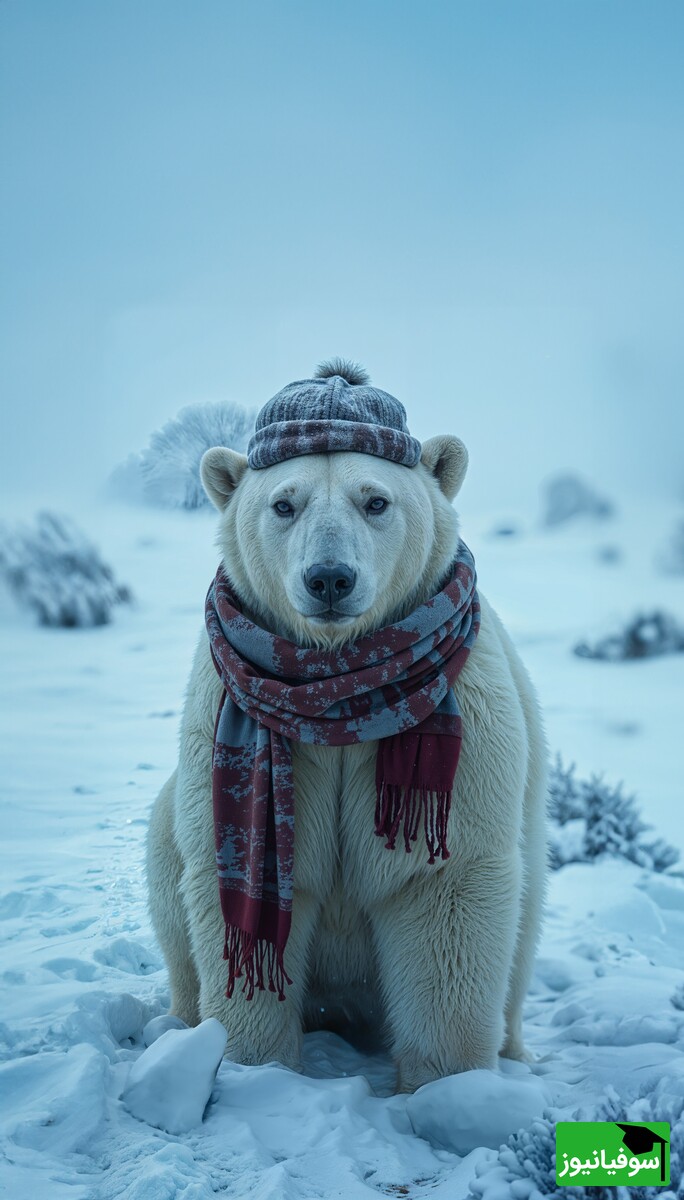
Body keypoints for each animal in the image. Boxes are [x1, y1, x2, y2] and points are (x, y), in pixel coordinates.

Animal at [146, 362, 544, 1089]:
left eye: (375, 501)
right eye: (284, 504)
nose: (329, 578)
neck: (335, 687)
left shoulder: (464, 723)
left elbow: (438, 885)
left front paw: (448, 1086)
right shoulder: (235, 713)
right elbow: (246, 901)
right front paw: (251, 1065)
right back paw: (179, 1026)